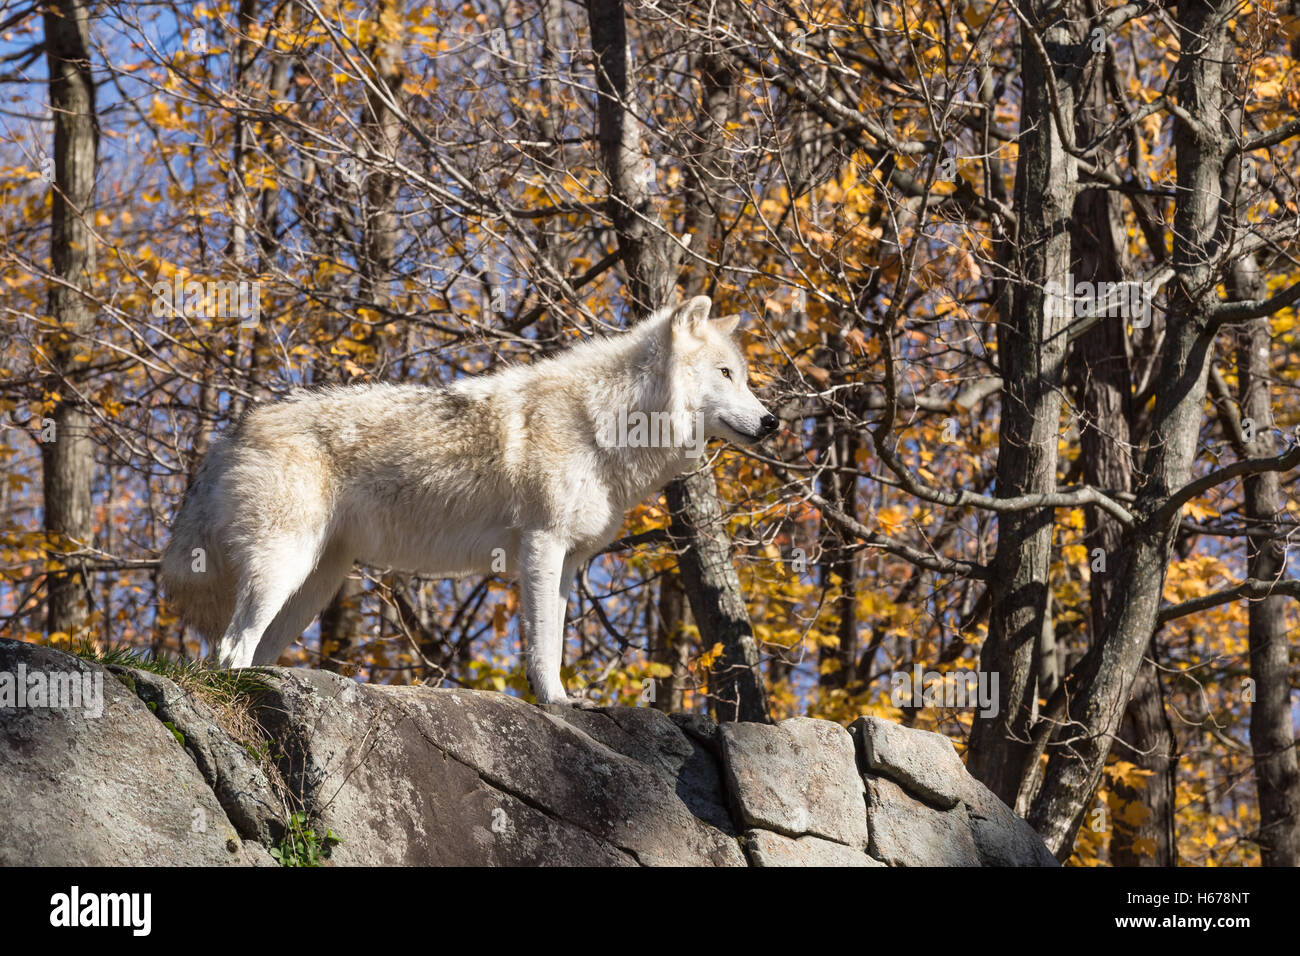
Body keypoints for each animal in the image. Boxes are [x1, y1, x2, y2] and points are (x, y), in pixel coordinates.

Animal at [161, 295, 778, 705]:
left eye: (745, 378)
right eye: (727, 374)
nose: (772, 421)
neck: (603, 422)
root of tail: (234, 431)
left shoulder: (568, 562)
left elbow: (555, 639)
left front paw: (564, 700)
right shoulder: (541, 546)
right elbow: (543, 643)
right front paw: (555, 702)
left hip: (314, 585)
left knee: (247, 651)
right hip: (283, 567)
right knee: (228, 651)